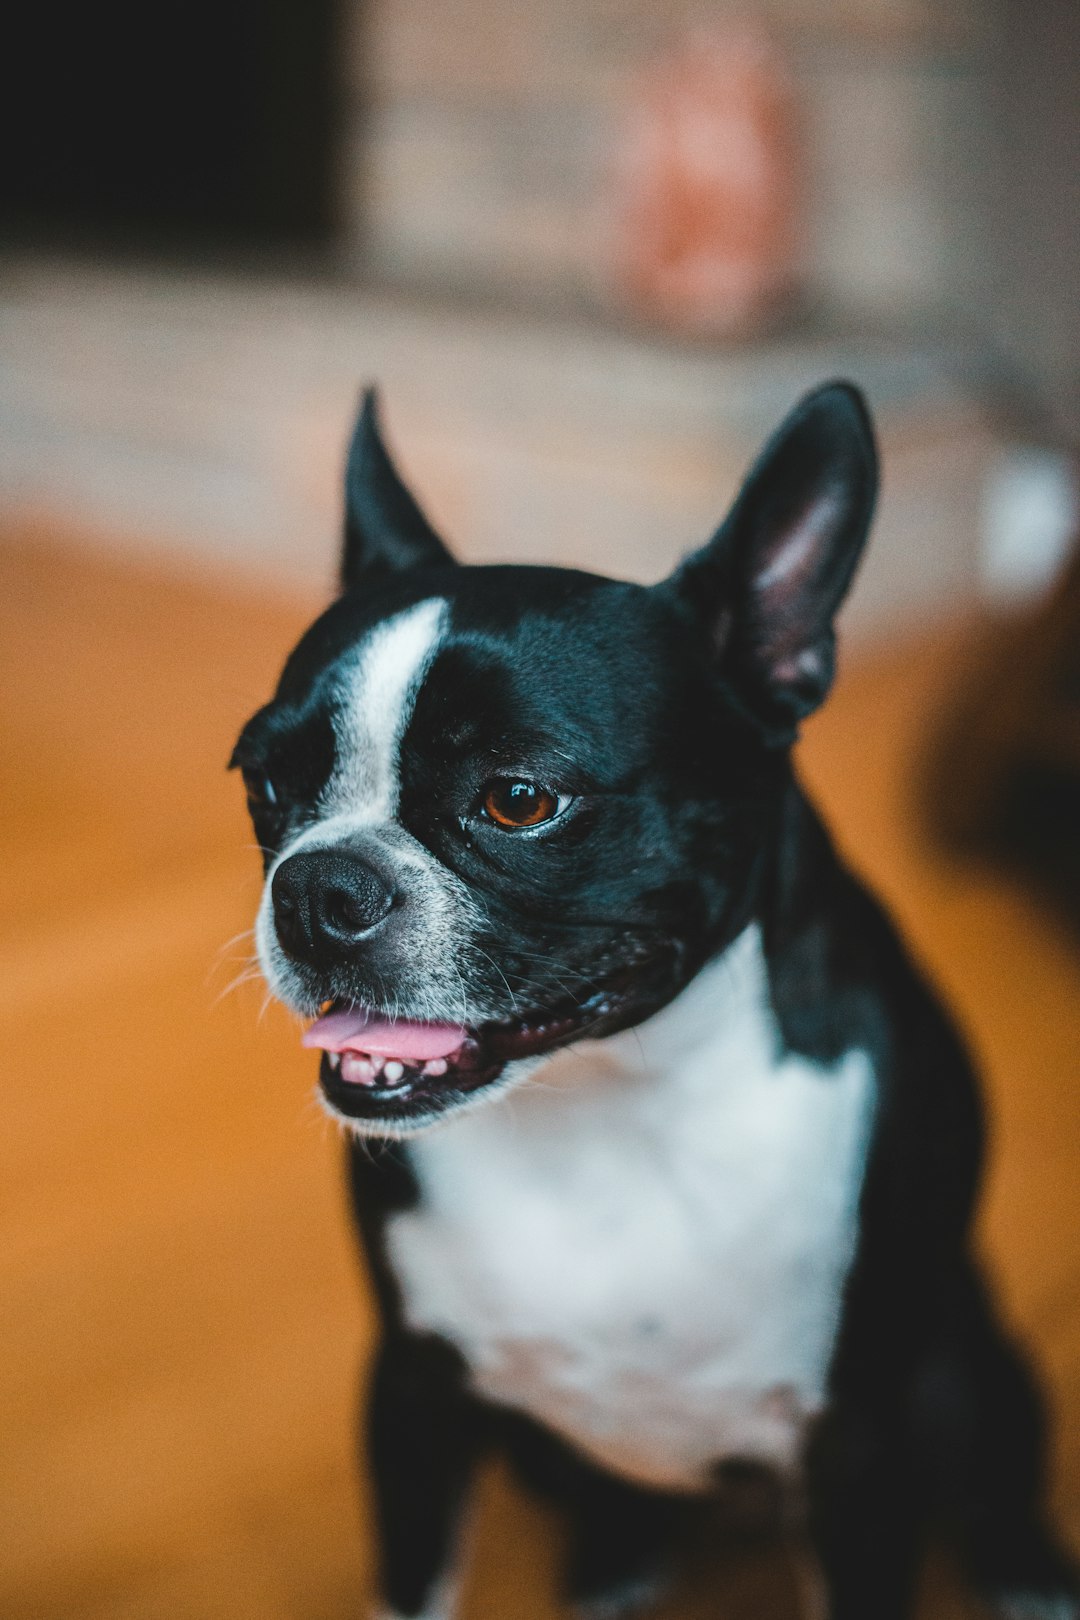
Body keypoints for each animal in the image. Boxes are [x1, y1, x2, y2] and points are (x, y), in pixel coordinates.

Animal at [233, 382, 1075, 1620]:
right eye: (265, 781)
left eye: (520, 798)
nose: (317, 887)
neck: (611, 1099)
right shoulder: (413, 1393)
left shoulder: (860, 1446)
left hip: (965, 1364)